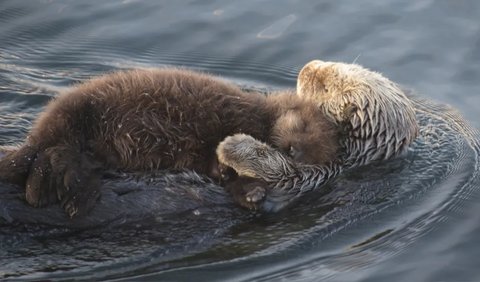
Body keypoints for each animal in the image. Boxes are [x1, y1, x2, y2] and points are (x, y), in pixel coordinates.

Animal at [0, 67, 340, 216]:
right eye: (303, 126)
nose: (294, 150)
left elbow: (225, 175)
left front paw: (251, 192)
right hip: (74, 114)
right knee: (53, 148)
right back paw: (56, 190)